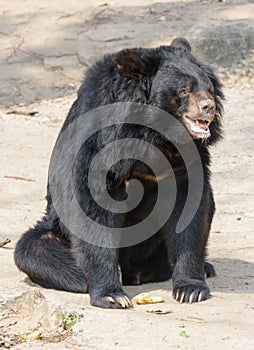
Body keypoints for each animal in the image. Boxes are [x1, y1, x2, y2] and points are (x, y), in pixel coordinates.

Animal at [14, 37, 223, 308]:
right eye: (184, 91)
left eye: (208, 88)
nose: (209, 108)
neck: (156, 136)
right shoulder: (100, 144)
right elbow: (94, 209)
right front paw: (112, 295)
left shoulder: (184, 158)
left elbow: (189, 210)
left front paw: (191, 290)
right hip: (54, 230)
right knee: (34, 248)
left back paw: (203, 267)